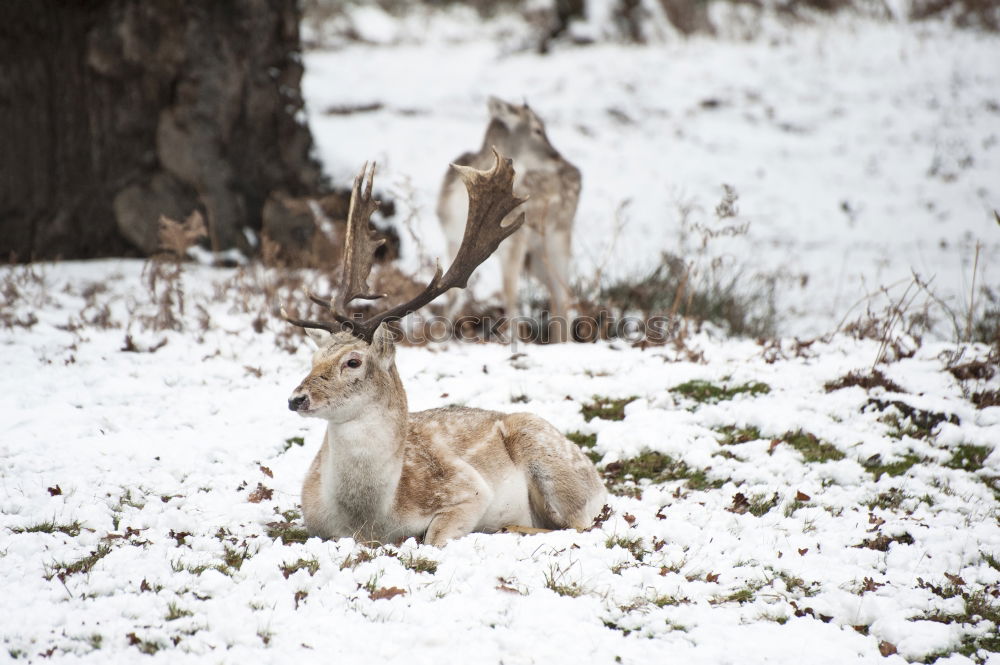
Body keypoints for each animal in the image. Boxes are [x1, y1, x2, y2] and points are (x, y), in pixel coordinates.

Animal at [284, 153, 608, 548]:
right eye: (312, 359)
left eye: (353, 361)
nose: (297, 398)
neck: (371, 519)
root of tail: (598, 479)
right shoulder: (314, 520)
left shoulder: (468, 488)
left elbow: (433, 537)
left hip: (552, 460)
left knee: (578, 524)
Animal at [436, 96, 584, 340]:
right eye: (537, 129)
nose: (557, 157)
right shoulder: (450, 238)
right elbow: (452, 295)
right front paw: (438, 337)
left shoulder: (514, 242)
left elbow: (510, 296)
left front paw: (515, 340)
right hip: (535, 256)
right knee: (557, 294)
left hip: (560, 235)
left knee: (565, 294)